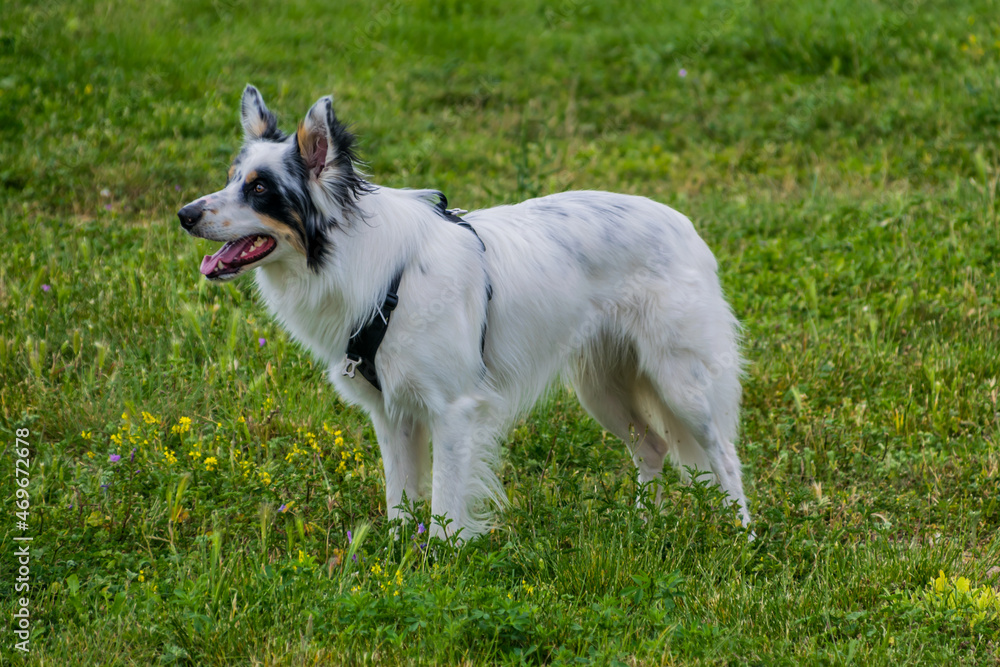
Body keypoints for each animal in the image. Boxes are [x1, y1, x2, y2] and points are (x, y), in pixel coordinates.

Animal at [178, 86, 752, 540]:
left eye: (259, 189)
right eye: (231, 179)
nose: (184, 215)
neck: (374, 270)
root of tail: (685, 226)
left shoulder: (453, 411)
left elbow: (445, 509)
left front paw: (440, 569)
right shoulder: (392, 415)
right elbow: (400, 503)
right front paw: (394, 562)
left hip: (682, 383)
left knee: (723, 455)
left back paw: (741, 540)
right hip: (603, 387)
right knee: (652, 446)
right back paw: (644, 524)